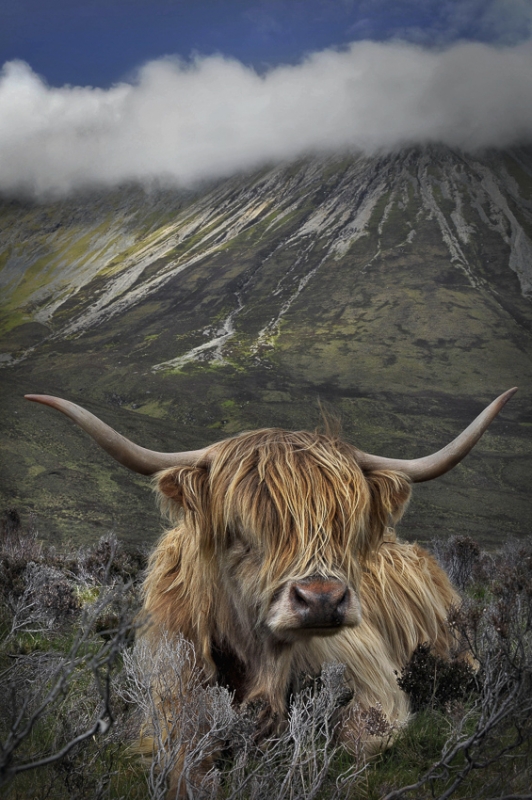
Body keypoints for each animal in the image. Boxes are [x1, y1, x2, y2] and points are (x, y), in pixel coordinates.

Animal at [25, 389, 516, 786]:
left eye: (346, 526)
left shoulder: (377, 687)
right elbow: (184, 760)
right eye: (242, 529)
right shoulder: (168, 702)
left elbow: (355, 740)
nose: (321, 601)